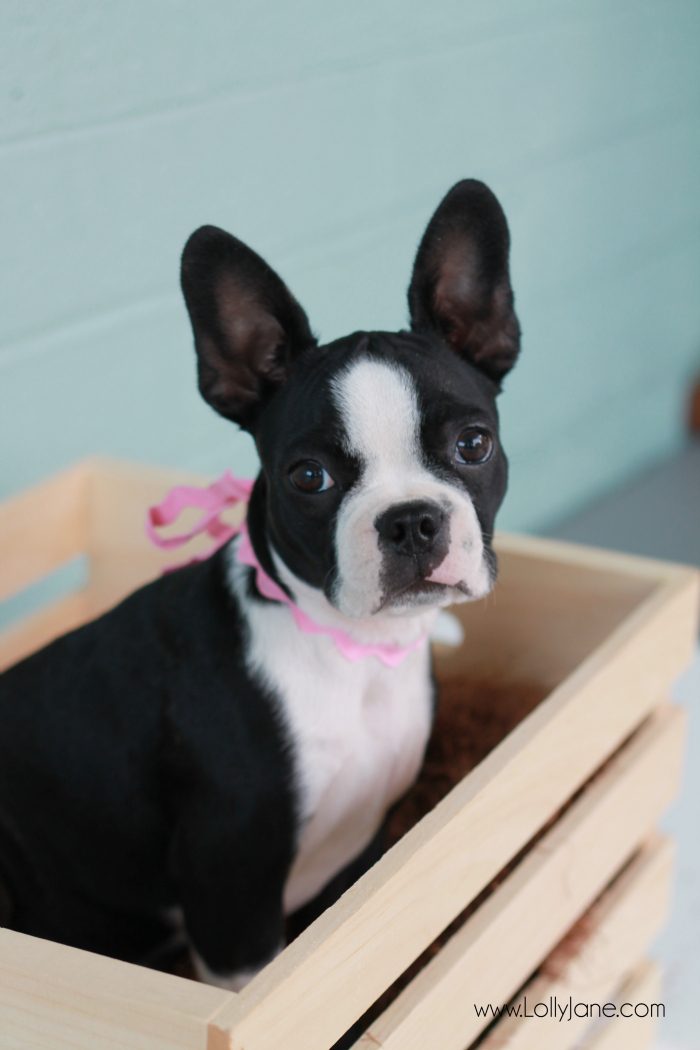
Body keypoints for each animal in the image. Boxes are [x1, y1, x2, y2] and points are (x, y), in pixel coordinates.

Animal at [0, 176, 520, 986]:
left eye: (474, 444)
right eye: (308, 478)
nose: (409, 520)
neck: (349, 649)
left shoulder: (357, 854)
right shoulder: (231, 886)